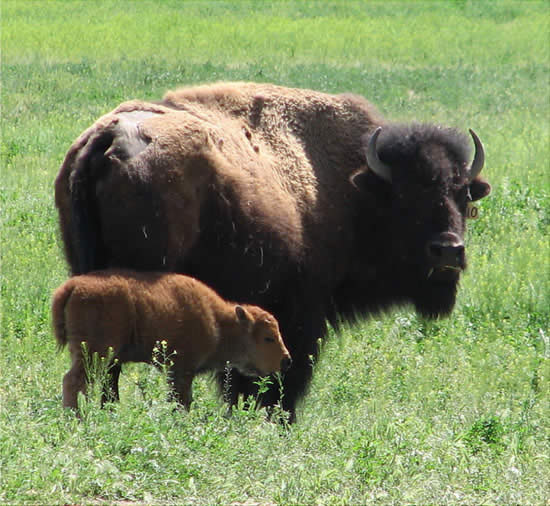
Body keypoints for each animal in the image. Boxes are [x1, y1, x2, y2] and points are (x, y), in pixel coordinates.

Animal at [52, 268, 294, 412]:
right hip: (95, 354)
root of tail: (72, 286)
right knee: (74, 381)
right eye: (268, 337)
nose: (287, 361)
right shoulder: (182, 371)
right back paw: (76, 417)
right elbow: (183, 400)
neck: (218, 320)